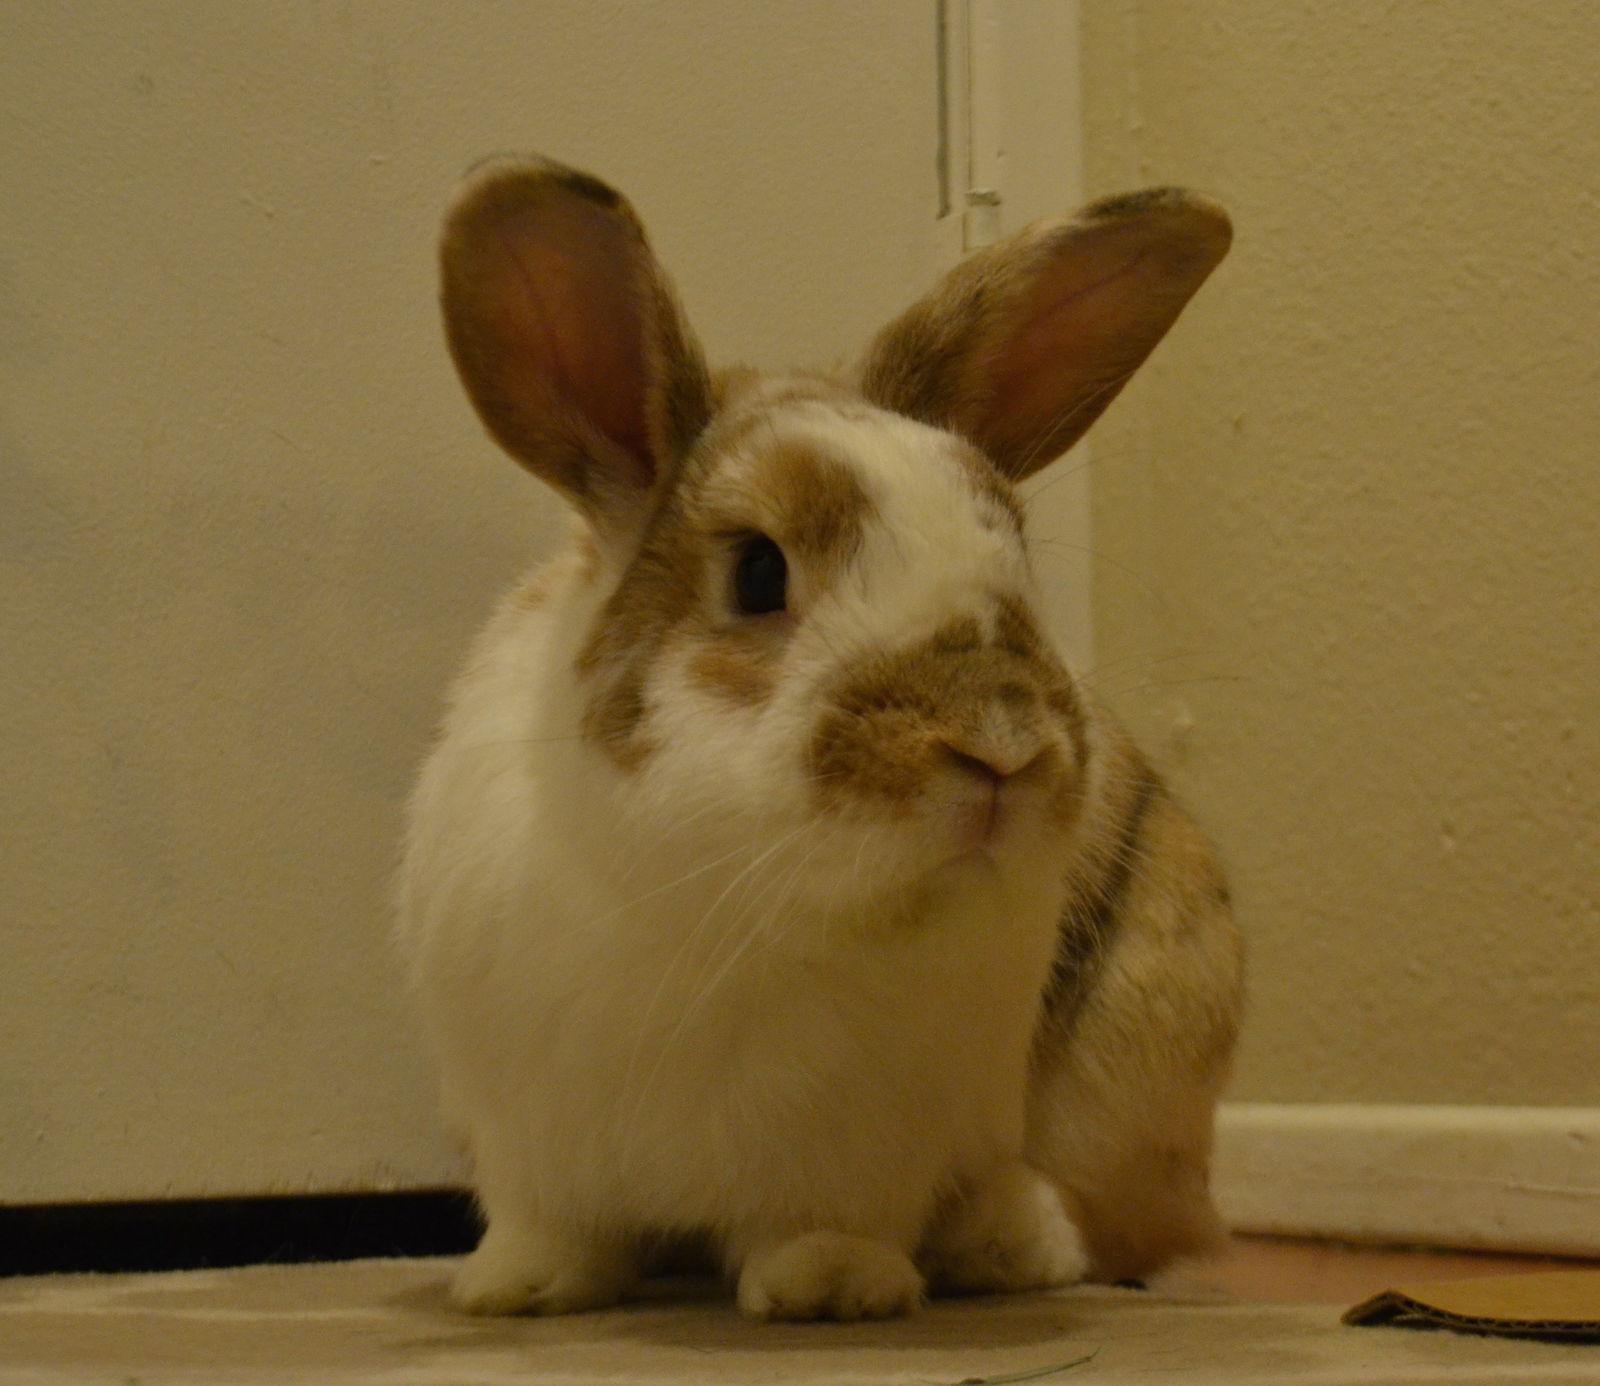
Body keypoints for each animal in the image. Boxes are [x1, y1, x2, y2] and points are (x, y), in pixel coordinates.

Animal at [397, 156, 1243, 1322]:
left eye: (1016, 554)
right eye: (758, 571)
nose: (1001, 748)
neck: (716, 899)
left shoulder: (863, 1142)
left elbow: (826, 1218)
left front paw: (831, 1285)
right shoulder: (527, 1131)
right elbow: (553, 1222)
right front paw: (519, 1287)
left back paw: (1012, 1244)